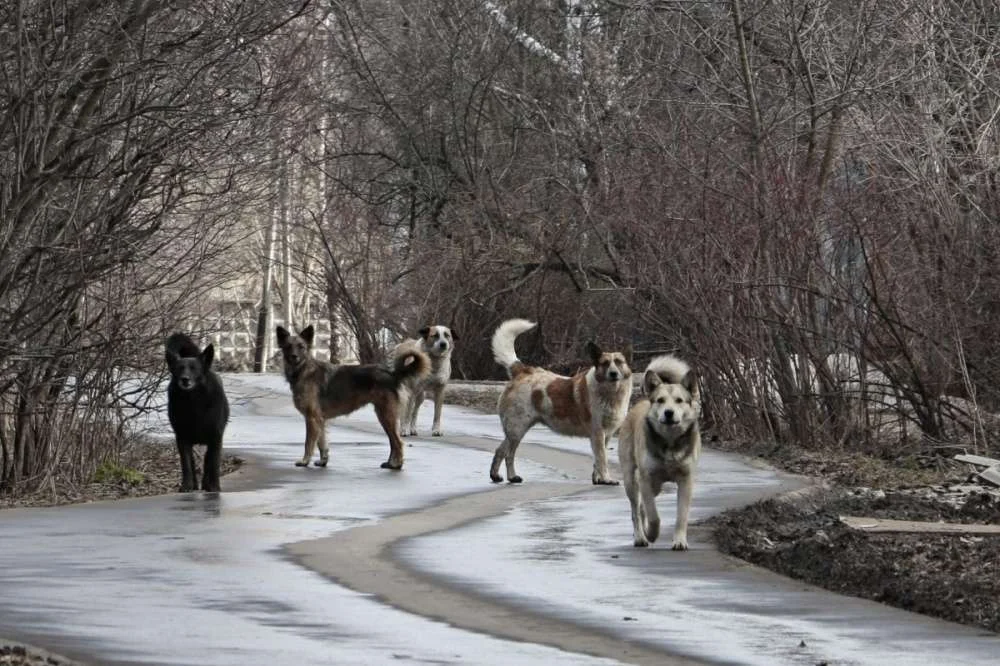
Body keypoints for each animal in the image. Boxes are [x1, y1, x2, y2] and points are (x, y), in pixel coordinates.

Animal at [165, 330, 229, 490]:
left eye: (194, 369)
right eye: (179, 369)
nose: (184, 379)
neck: (194, 402)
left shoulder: (216, 438)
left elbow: (213, 463)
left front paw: (214, 487)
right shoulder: (182, 438)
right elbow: (187, 463)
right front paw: (187, 486)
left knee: (208, 461)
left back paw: (207, 484)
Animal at [486, 316, 632, 482]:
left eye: (619, 362)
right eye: (605, 364)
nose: (613, 373)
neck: (610, 393)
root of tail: (523, 371)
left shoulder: (605, 436)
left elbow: (598, 460)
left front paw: (598, 479)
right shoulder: (598, 433)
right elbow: (602, 459)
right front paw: (606, 479)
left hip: (516, 431)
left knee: (502, 451)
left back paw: (500, 476)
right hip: (517, 429)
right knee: (508, 453)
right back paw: (508, 476)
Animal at [616, 352, 704, 548]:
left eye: (679, 401)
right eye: (660, 400)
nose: (669, 413)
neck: (669, 443)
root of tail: (640, 402)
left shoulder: (686, 480)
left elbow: (681, 515)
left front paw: (679, 541)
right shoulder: (646, 478)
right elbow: (653, 515)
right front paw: (651, 534)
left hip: (655, 485)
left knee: (641, 506)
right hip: (631, 478)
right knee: (636, 509)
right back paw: (641, 536)